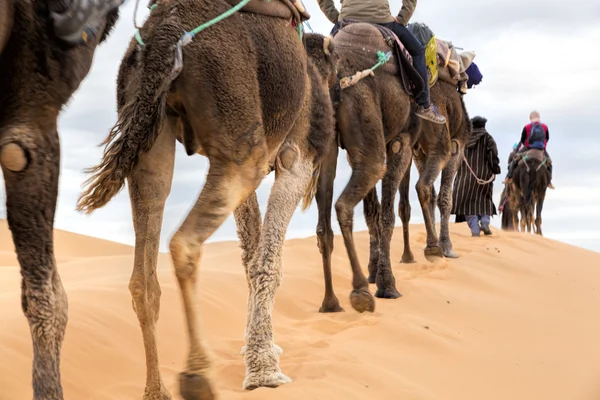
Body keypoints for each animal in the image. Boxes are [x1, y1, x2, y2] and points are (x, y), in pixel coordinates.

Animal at [74, 0, 336, 396]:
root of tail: (165, 32)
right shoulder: (297, 155)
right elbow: (267, 261)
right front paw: (265, 371)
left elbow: (251, 254)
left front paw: (259, 354)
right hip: (240, 136)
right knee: (183, 243)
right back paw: (197, 374)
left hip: (153, 130)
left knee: (144, 271)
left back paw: (157, 391)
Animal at [312, 21, 424, 316]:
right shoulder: (401, 141)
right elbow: (386, 214)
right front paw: (385, 283)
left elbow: (373, 211)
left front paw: (376, 272)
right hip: (367, 123)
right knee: (346, 201)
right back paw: (361, 290)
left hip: (329, 140)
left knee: (324, 222)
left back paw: (330, 302)